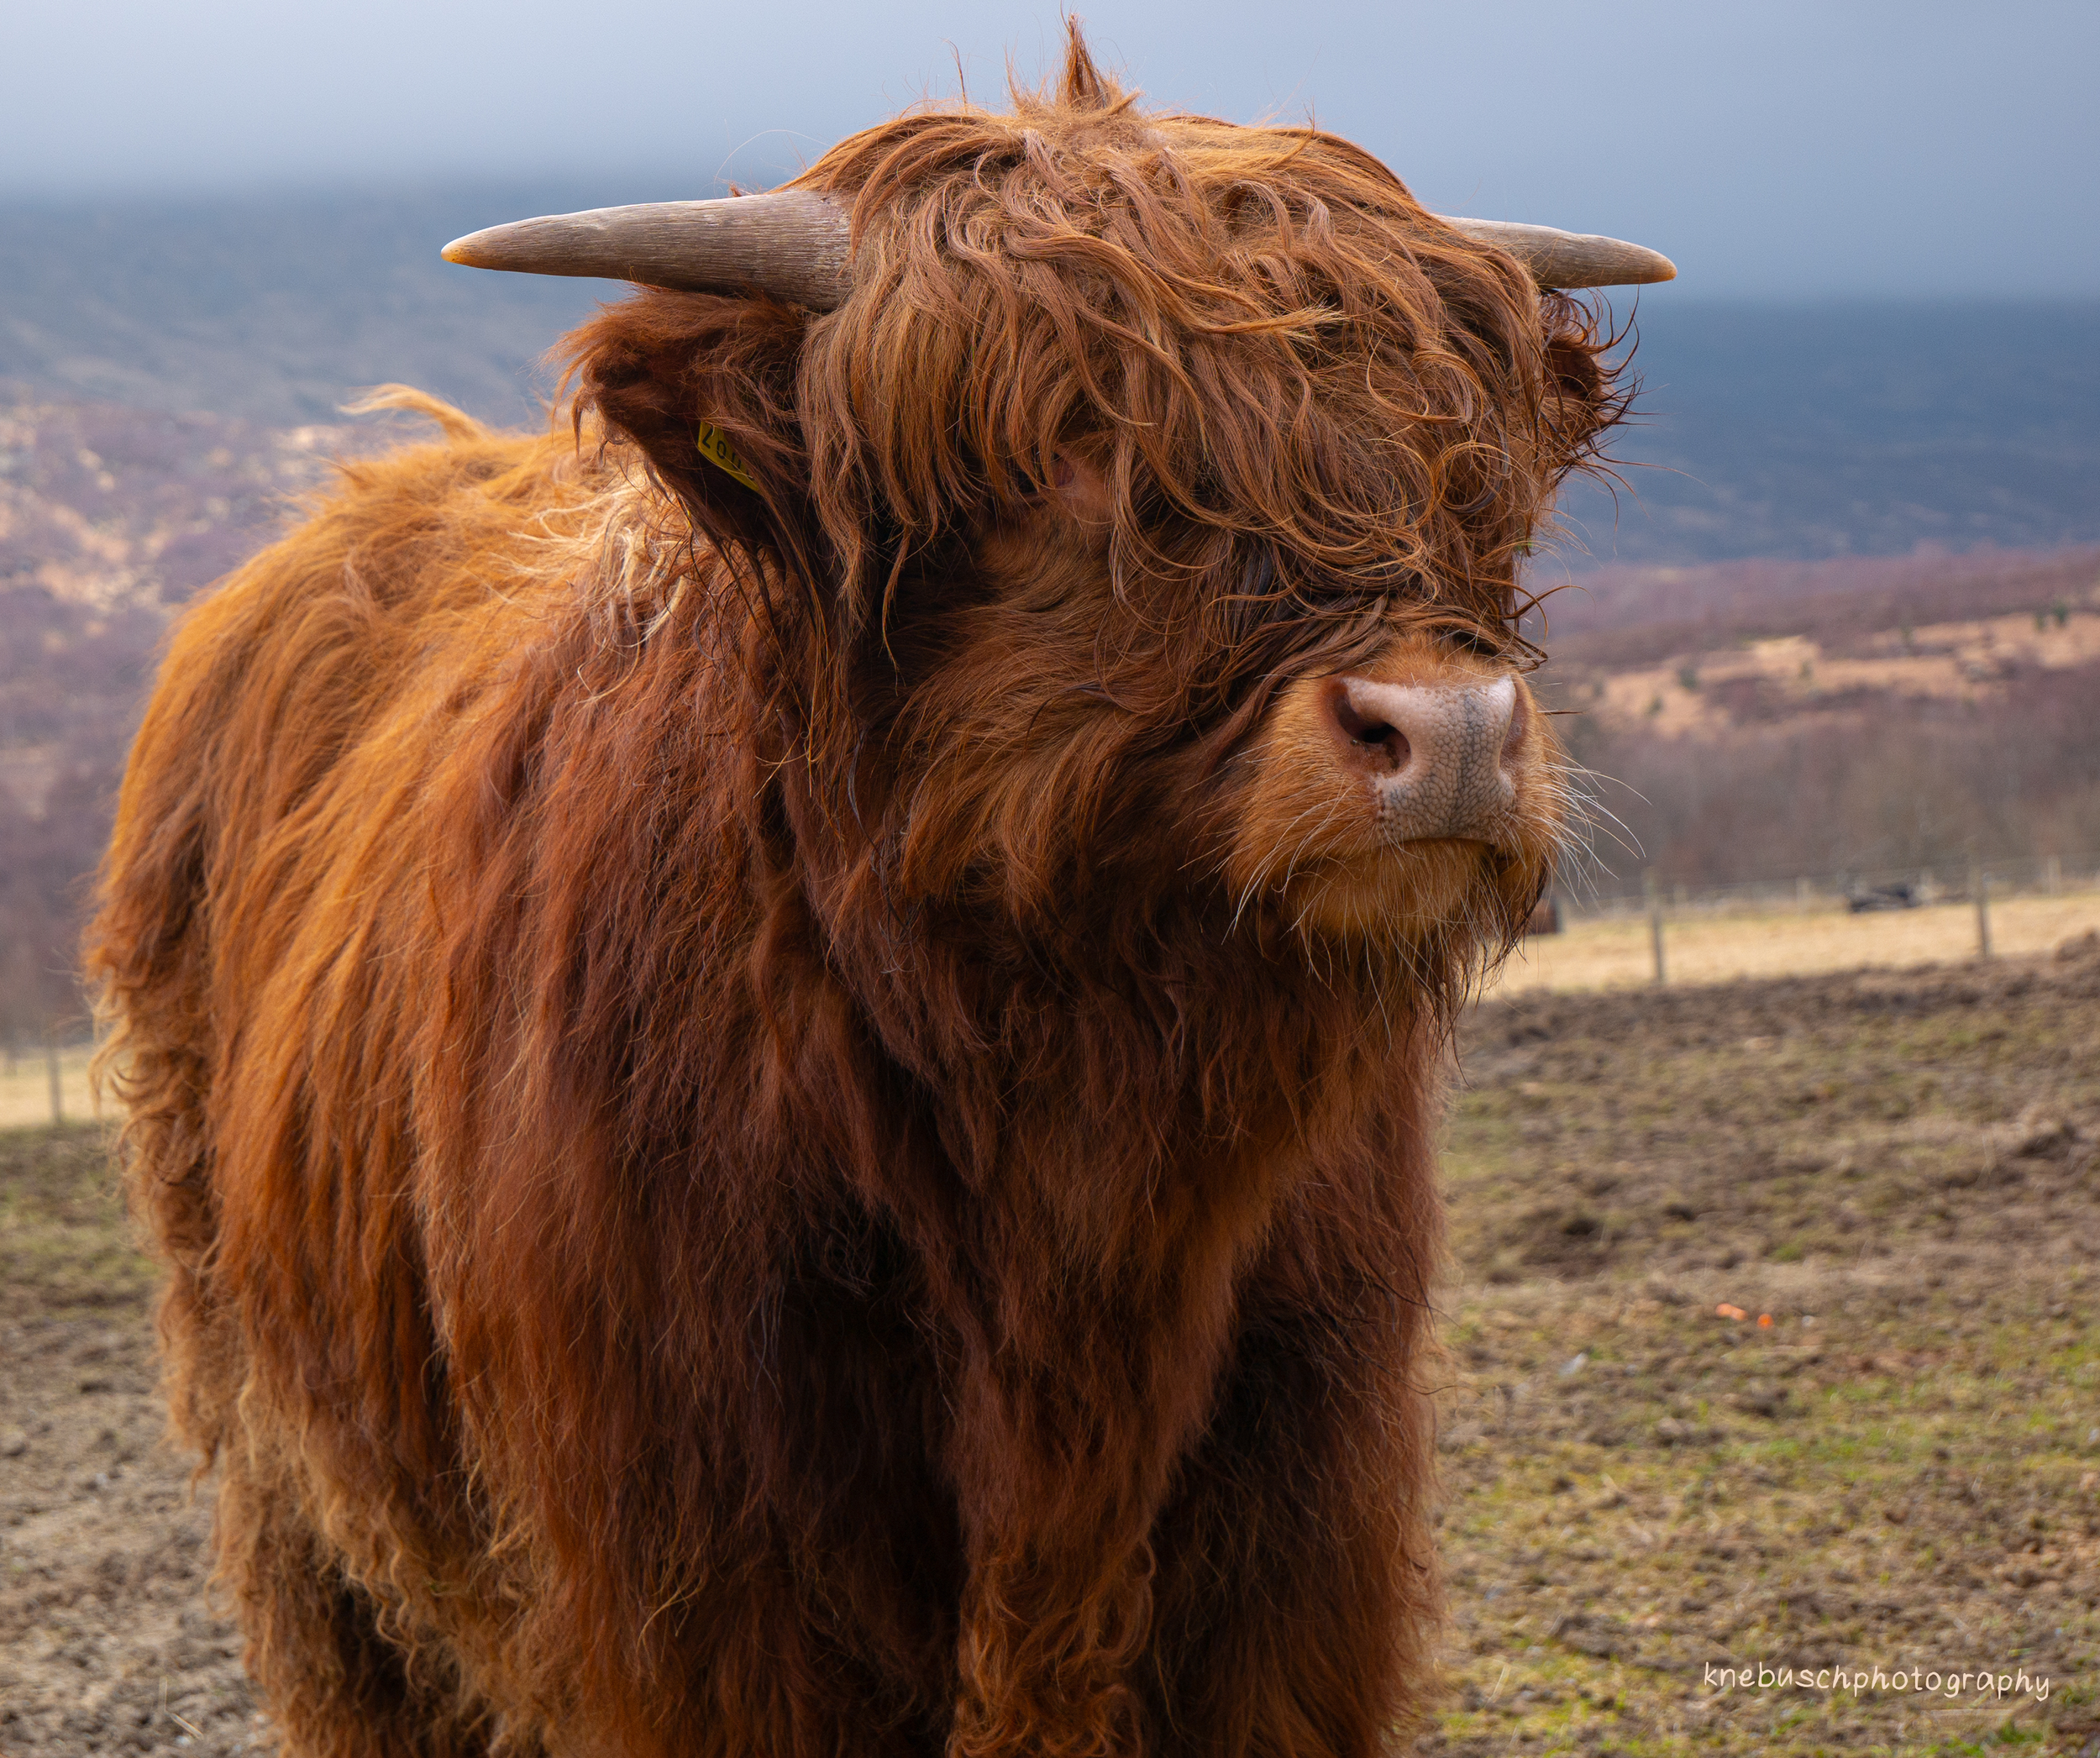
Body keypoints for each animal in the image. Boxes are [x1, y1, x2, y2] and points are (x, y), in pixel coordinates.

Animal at [87, 30, 1669, 1758]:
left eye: (1464, 467)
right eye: (1066, 455)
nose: (1447, 734)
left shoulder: (1293, 1547)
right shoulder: (704, 1590)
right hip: (300, 1496)